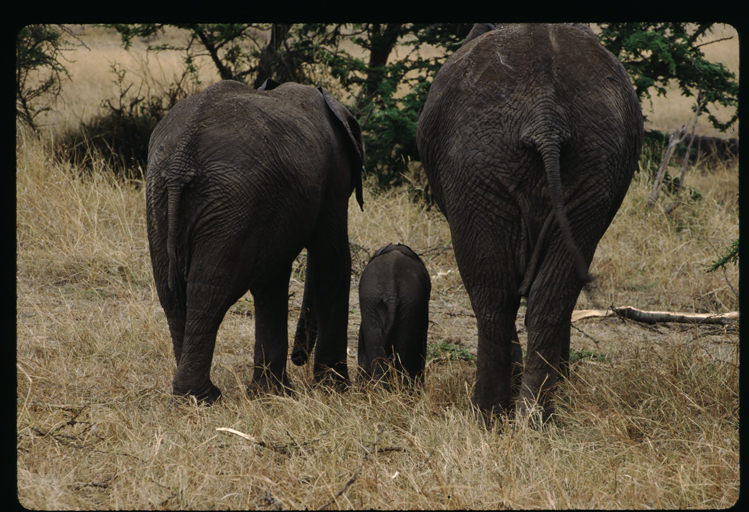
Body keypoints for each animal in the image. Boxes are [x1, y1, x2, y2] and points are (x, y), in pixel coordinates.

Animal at [146, 79, 362, 404]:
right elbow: (332, 261)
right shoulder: (334, 174)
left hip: (171, 197)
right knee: (208, 292)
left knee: (174, 293)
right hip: (226, 201)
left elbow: (271, 280)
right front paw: (334, 391)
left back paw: (192, 398)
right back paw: (203, 398)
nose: (300, 357)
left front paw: (272, 394)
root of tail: (182, 157)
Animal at [414, 23, 644, 420]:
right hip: (592, 164)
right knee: (549, 298)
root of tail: (545, 113)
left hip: (476, 166)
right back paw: (535, 417)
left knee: (492, 297)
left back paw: (486, 415)